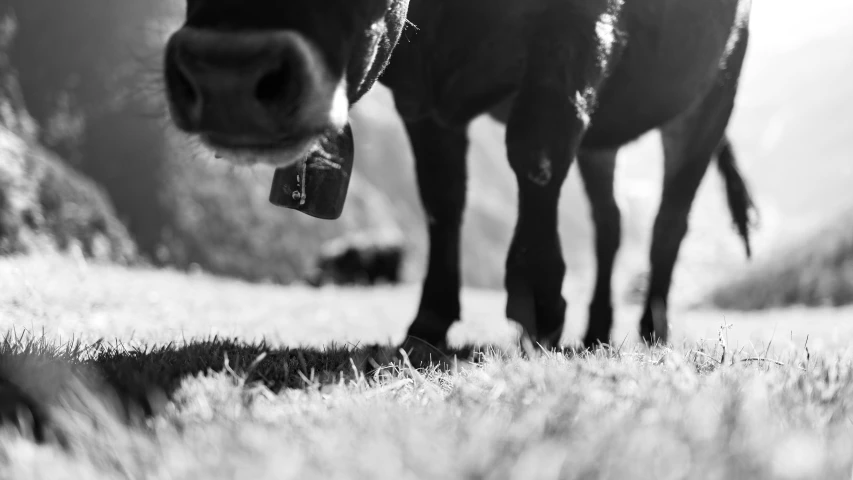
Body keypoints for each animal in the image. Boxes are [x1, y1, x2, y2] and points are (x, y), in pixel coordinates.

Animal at [163, 0, 756, 348]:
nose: (226, 76)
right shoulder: (421, 97)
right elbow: (441, 197)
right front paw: (430, 319)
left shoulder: (573, 29)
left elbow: (536, 145)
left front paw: (538, 304)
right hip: (605, 142)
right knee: (610, 221)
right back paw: (597, 331)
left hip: (715, 93)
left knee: (669, 221)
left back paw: (652, 329)